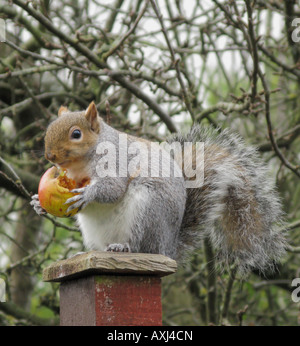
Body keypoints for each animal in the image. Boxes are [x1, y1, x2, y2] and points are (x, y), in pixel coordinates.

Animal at [29, 100, 286, 276]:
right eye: (49, 129)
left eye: (76, 134)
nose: (49, 155)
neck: (79, 166)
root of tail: (168, 248)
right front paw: (37, 204)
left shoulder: (116, 162)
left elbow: (112, 188)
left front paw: (87, 193)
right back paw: (86, 253)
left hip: (148, 210)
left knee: (141, 246)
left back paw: (122, 247)